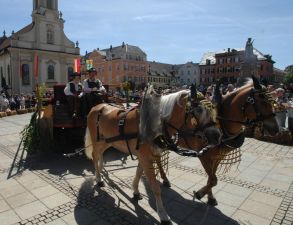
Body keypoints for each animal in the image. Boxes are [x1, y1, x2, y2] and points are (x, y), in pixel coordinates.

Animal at [83, 85, 220, 225]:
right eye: (198, 110)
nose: (217, 136)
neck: (153, 124)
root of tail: (97, 107)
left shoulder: (145, 157)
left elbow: (139, 173)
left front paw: (135, 192)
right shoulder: (145, 157)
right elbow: (155, 187)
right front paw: (163, 215)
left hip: (107, 142)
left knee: (100, 155)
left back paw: (100, 171)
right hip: (97, 141)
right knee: (94, 155)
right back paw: (99, 179)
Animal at [148, 77, 278, 206]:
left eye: (273, 102)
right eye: (263, 102)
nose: (276, 129)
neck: (222, 124)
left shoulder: (218, 157)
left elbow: (212, 178)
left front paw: (209, 197)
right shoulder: (203, 155)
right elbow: (213, 179)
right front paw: (200, 193)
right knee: (157, 158)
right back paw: (163, 178)